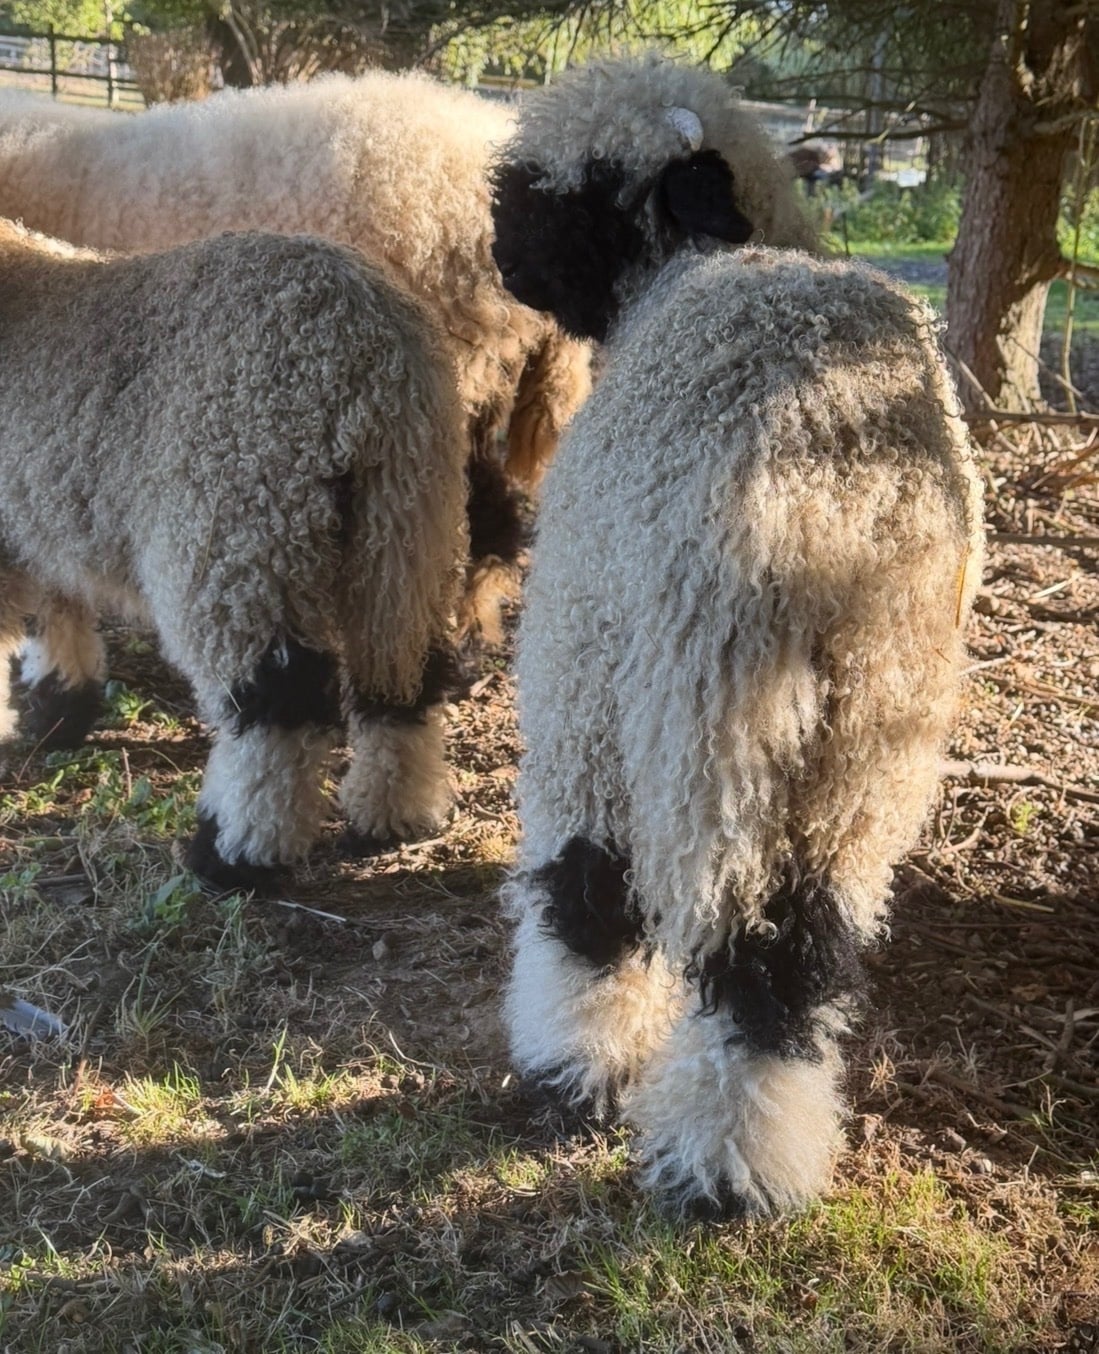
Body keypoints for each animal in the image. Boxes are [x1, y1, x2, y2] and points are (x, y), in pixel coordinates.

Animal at [0, 218, 468, 888]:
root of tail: (366, 348)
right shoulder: (40, 505)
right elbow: (58, 604)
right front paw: (59, 705)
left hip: (238, 527)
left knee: (274, 708)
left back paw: (235, 853)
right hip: (407, 526)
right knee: (403, 675)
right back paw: (392, 818)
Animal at [490, 55, 984, 1217]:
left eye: (575, 184)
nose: (497, 249)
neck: (688, 269)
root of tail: (836, 503)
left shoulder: (584, 656)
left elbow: (587, 890)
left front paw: (576, 1059)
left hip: (703, 713)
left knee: (679, 921)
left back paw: (680, 1141)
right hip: (865, 744)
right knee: (795, 949)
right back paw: (753, 1154)